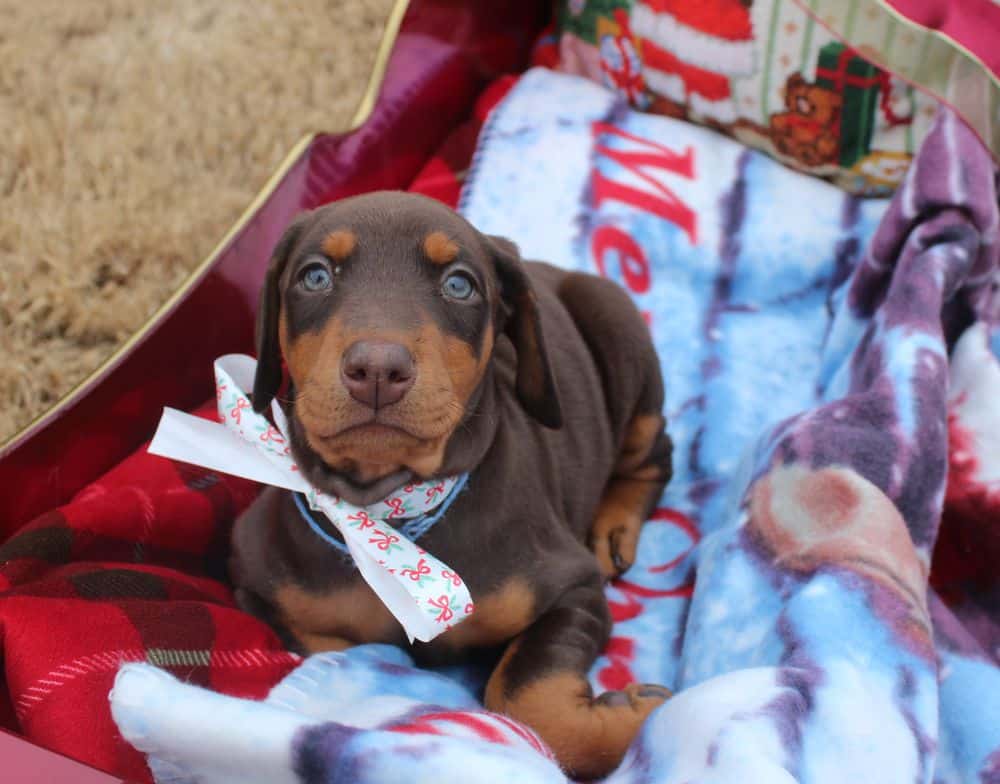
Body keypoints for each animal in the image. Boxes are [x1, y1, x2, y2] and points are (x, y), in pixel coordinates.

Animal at [230, 191, 676, 776]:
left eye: (459, 284)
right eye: (315, 276)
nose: (377, 369)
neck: (392, 516)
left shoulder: (572, 587)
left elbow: (533, 701)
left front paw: (640, 716)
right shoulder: (259, 588)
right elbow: (337, 649)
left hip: (616, 328)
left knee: (656, 452)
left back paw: (615, 525)